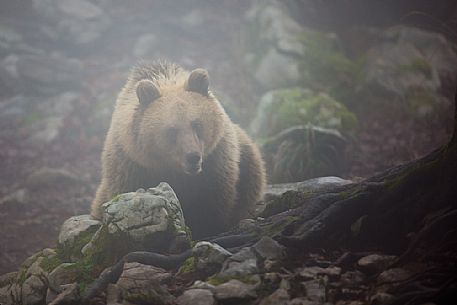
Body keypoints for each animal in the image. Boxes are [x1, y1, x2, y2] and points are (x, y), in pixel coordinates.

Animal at [91, 60, 266, 238]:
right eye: (172, 130)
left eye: (197, 124)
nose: (193, 157)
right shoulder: (132, 165)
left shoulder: (216, 159)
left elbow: (214, 199)